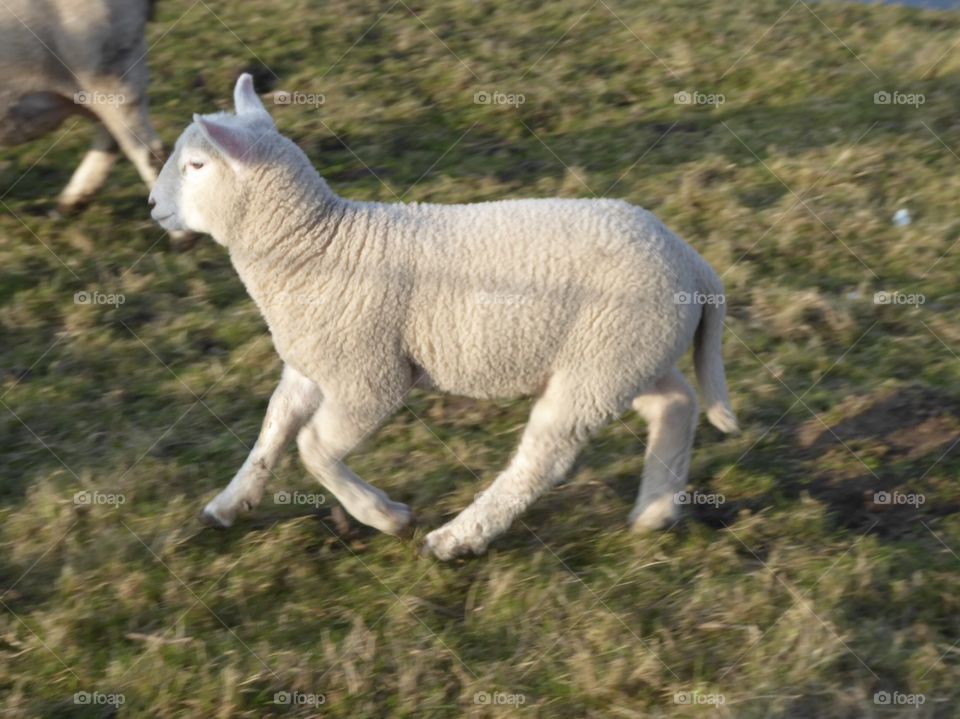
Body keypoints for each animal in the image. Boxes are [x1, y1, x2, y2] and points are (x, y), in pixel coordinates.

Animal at [149, 74, 739, 560]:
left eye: (196, 166)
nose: (152, 205)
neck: (315, 245)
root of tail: (692, 260)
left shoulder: (370, 377)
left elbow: (312, 447)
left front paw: (386, 517)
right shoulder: (311, 363)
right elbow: (273, 428)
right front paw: (228, 504)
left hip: (601, 362)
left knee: (545, 457)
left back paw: (457, 538)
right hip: (627, 356)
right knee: (676, 404)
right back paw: (654, 512)